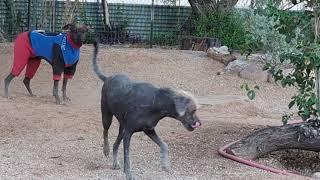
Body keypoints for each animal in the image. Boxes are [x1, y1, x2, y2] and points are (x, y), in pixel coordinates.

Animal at [91, 41, 201, 179]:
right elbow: (127, 156)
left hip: (122, 127)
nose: (199, 123)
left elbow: (164, 145)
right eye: (193, 110)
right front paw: (129, 174)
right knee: (105, 132)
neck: (156, 103)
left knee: (116, 144)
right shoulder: (129, 133)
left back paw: (115, 163)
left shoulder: (149, 130)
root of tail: (108, 78)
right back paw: (106, 150)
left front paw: (165, 165)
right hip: (107, 116)